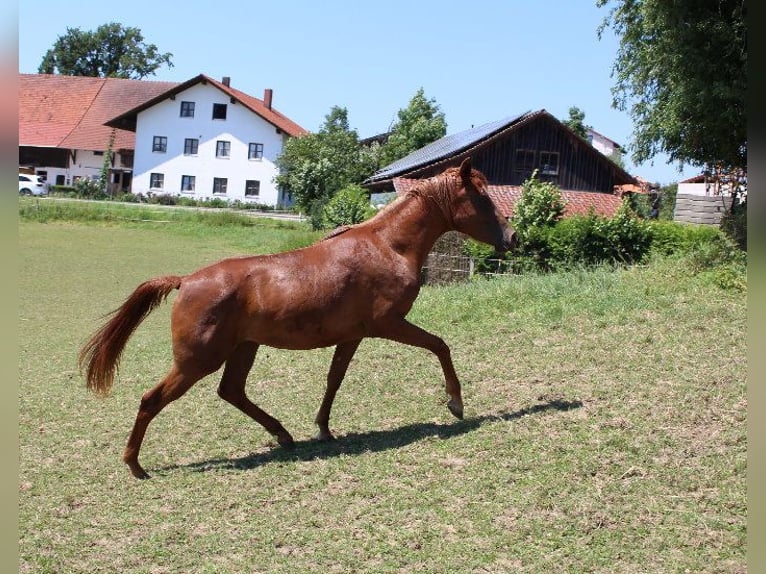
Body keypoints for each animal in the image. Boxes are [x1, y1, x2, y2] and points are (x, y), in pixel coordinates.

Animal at [81, 155, 520, 480]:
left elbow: (334, 379)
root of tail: (185, 280)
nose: (513, 238)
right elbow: (440, 345)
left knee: (232, 392)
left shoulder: (353, 335)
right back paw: (135, 465)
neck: (388, 247)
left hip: (242, 349)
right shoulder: (388, 325)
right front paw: (456, 403)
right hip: (198, 360)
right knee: (152, 399)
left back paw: (284, 435)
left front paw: (323, 428)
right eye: (482, 197)